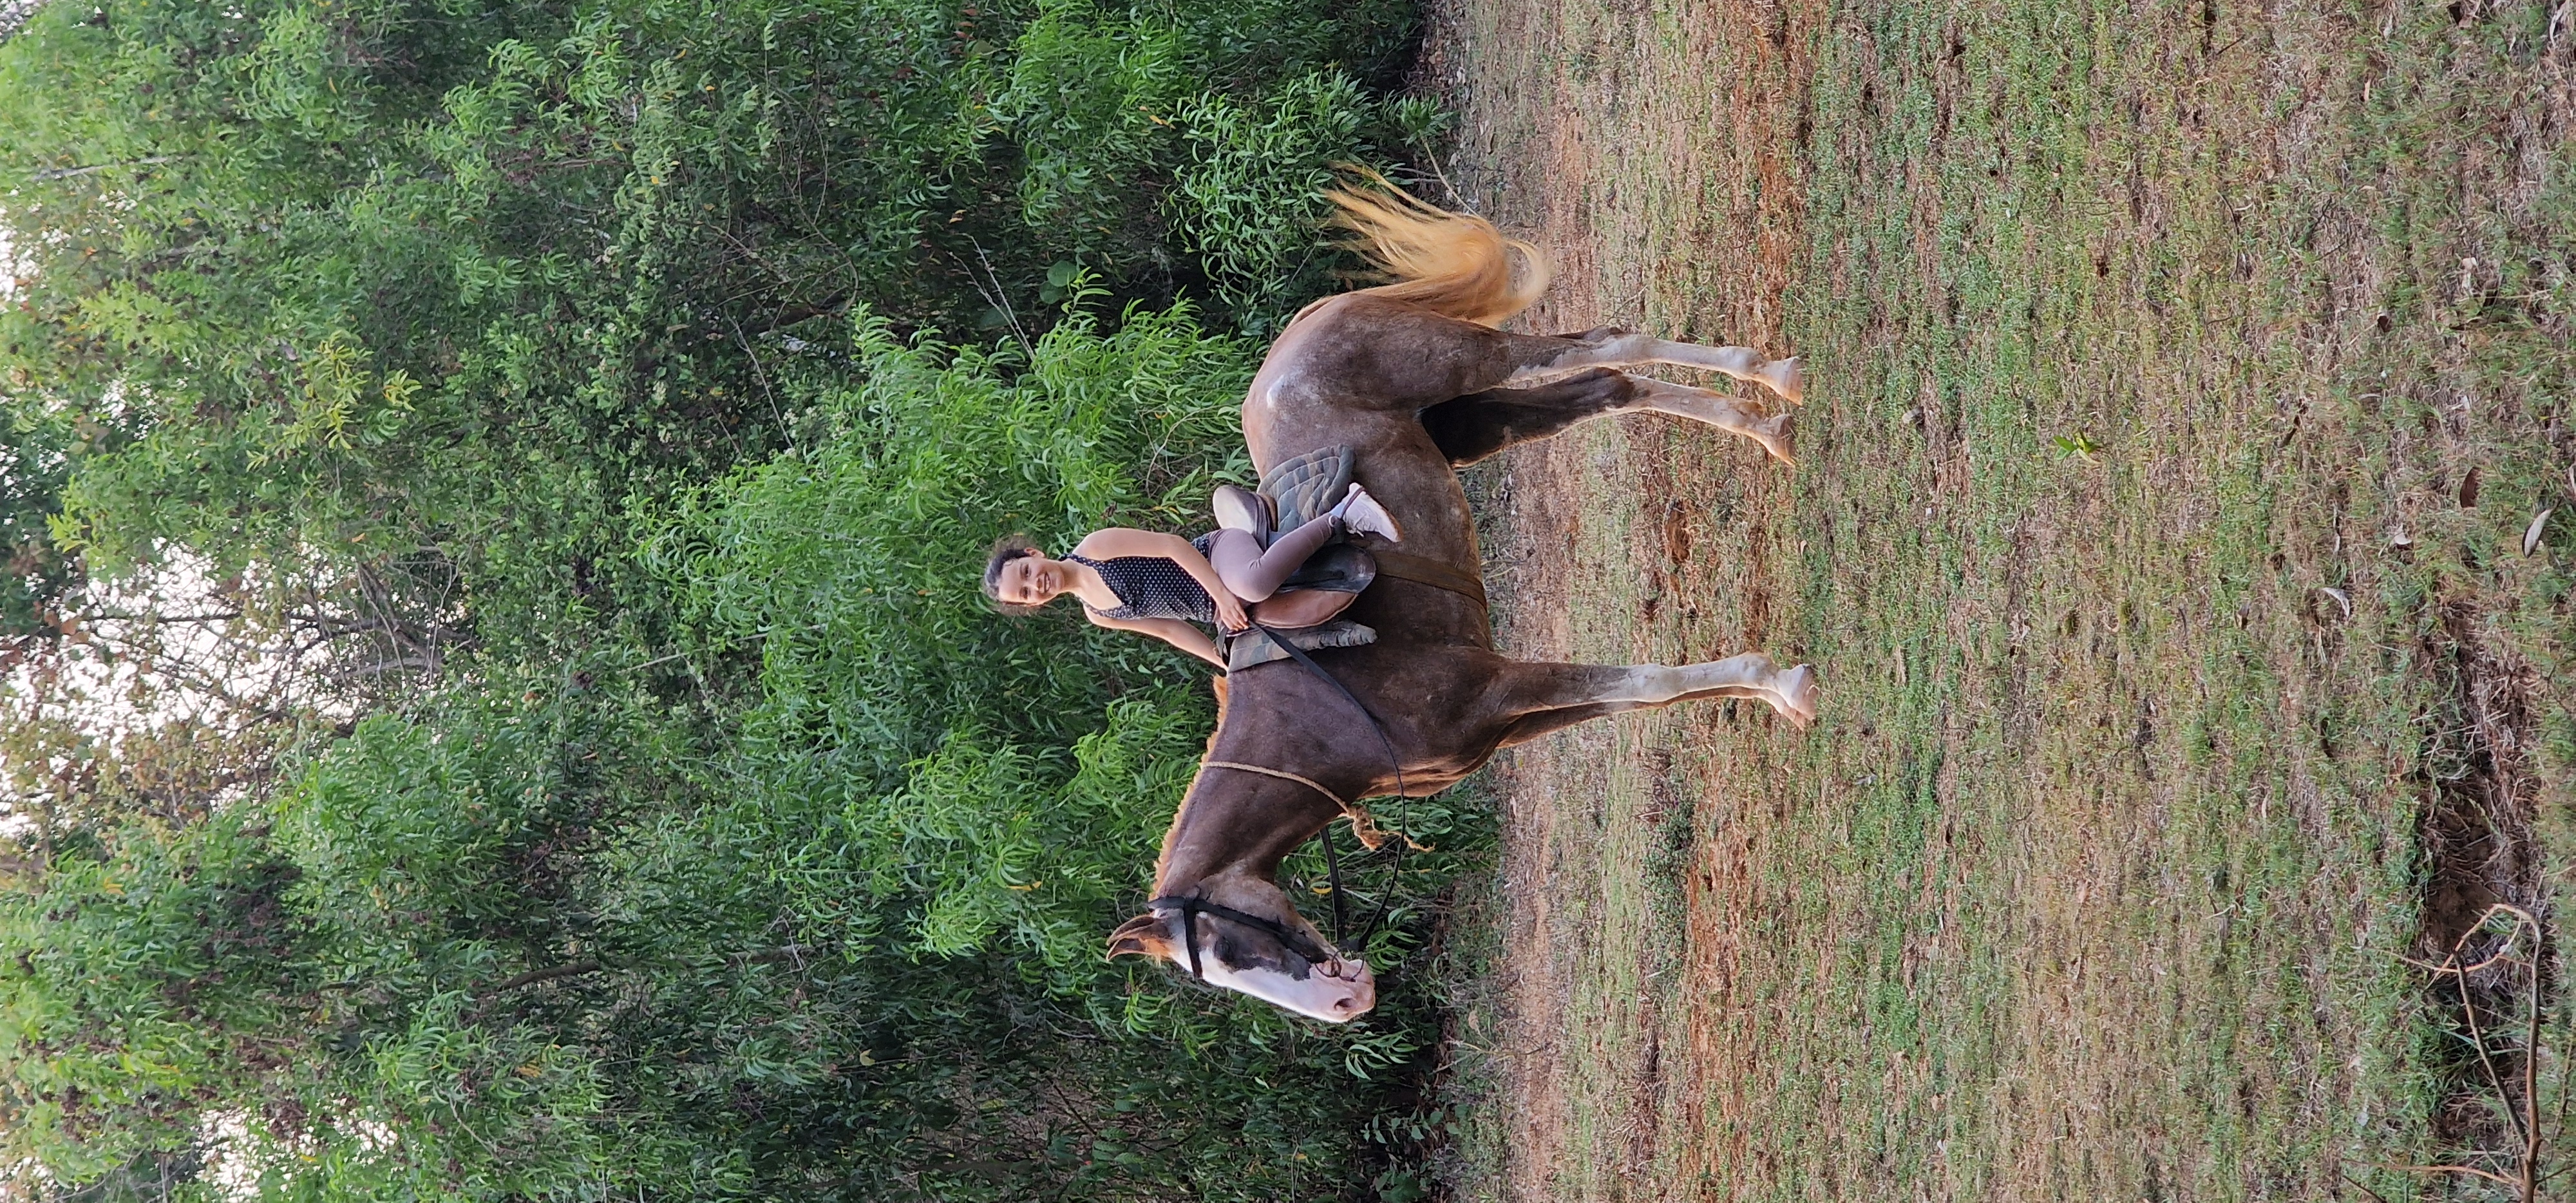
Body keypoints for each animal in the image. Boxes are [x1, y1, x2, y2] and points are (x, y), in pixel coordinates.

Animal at [1104, 183, 1816, 1021]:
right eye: (1222, 968)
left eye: (1230, 945)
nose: (1347, 1005)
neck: (1325, 714)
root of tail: (1314, 321)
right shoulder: (1503, 718)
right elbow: (1649, 698)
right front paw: (1769, 688)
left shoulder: (1496, 686)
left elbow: (1648, 684)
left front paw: (1786, 683)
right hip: (1478, 418)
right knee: (1611, 387)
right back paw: (1768, 425)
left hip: (1474, 360)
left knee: (1604, 344)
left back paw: (1771, 375)